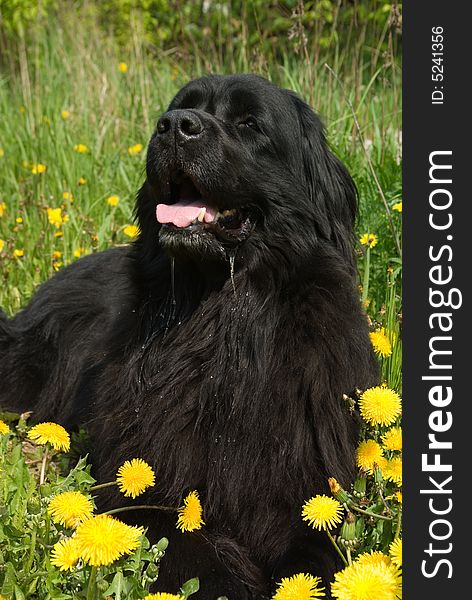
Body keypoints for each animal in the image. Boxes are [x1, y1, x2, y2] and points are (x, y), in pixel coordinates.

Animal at [0, 74, 378, 596]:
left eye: (249, 123)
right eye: (180, 107)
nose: (175, 126)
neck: (222, 320)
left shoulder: (304, 486)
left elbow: (316, 558)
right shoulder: (145, 484)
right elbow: (194, 552)